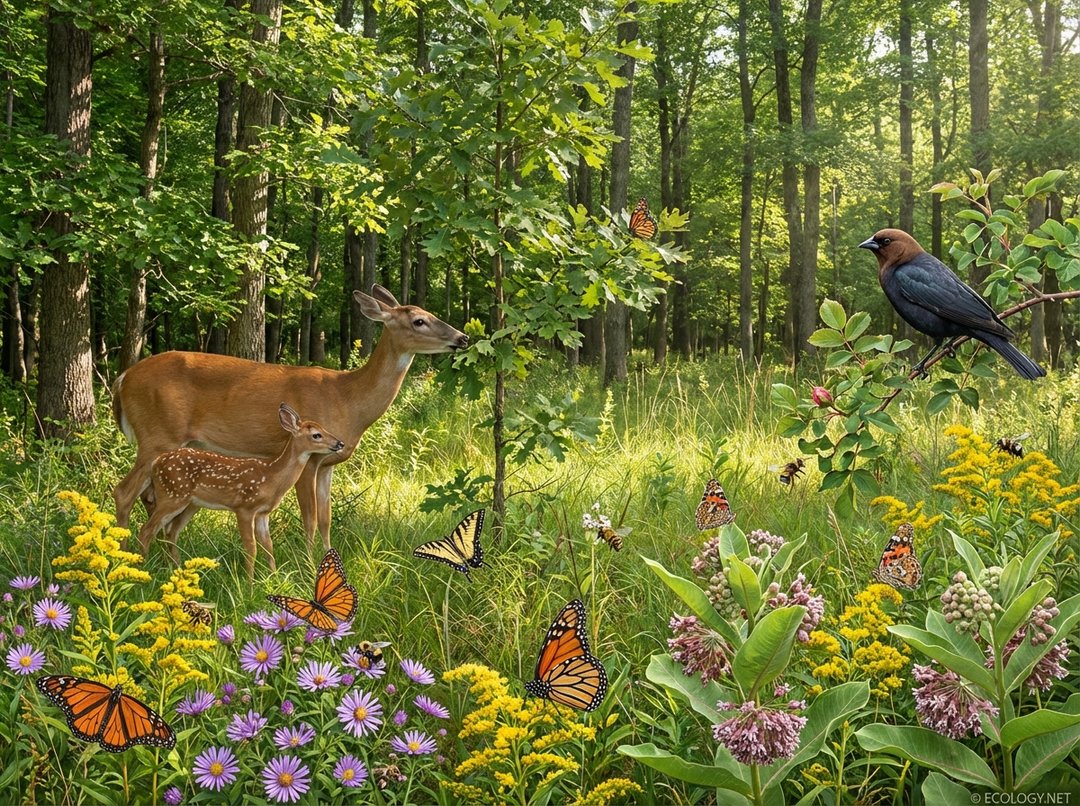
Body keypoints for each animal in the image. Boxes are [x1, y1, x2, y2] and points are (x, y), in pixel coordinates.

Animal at [113, 285, 468, 552]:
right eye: (419, 320)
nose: (462, 337)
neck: (348, 399)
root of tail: (123, 378)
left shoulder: (327, 464)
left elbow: (325, 518)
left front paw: (328, 556)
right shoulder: (308, 458)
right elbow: (309, 518)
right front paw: (308, 563)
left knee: (147, 497)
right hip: (157, 435)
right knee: (124, 492)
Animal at [136, 403, 345, 577]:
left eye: (325, 428)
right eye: (316, 435)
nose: (339, 443)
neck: (271, 476)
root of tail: (155, 464)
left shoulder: (263, 513)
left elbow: (268, 546)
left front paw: (275, 578)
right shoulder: (244, 507)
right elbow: (251, 547)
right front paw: (249, 583)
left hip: (190, 503)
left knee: (171, 532)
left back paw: (177, 568)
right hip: (171, 495)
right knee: (146, 530)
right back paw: (144, 569)